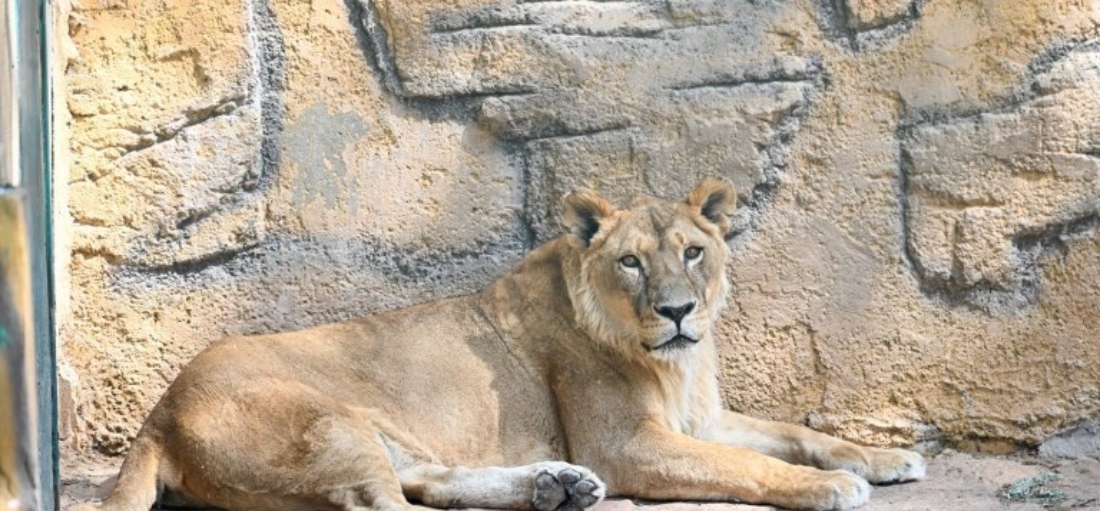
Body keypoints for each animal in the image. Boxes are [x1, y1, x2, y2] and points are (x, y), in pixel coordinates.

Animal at [75, 177, 925, 511]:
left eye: (693, 251)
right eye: (630, 261)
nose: (680, 311)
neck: (675, 362)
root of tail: (159, 409)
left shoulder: (703, 417)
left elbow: (799, 433)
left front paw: (883, 457)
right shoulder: (626, 443)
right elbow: (747, 466)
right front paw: (829, 486)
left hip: (378, 434)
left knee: (430, 479)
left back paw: (556, 484)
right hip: (329, 423)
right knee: (388, 503)